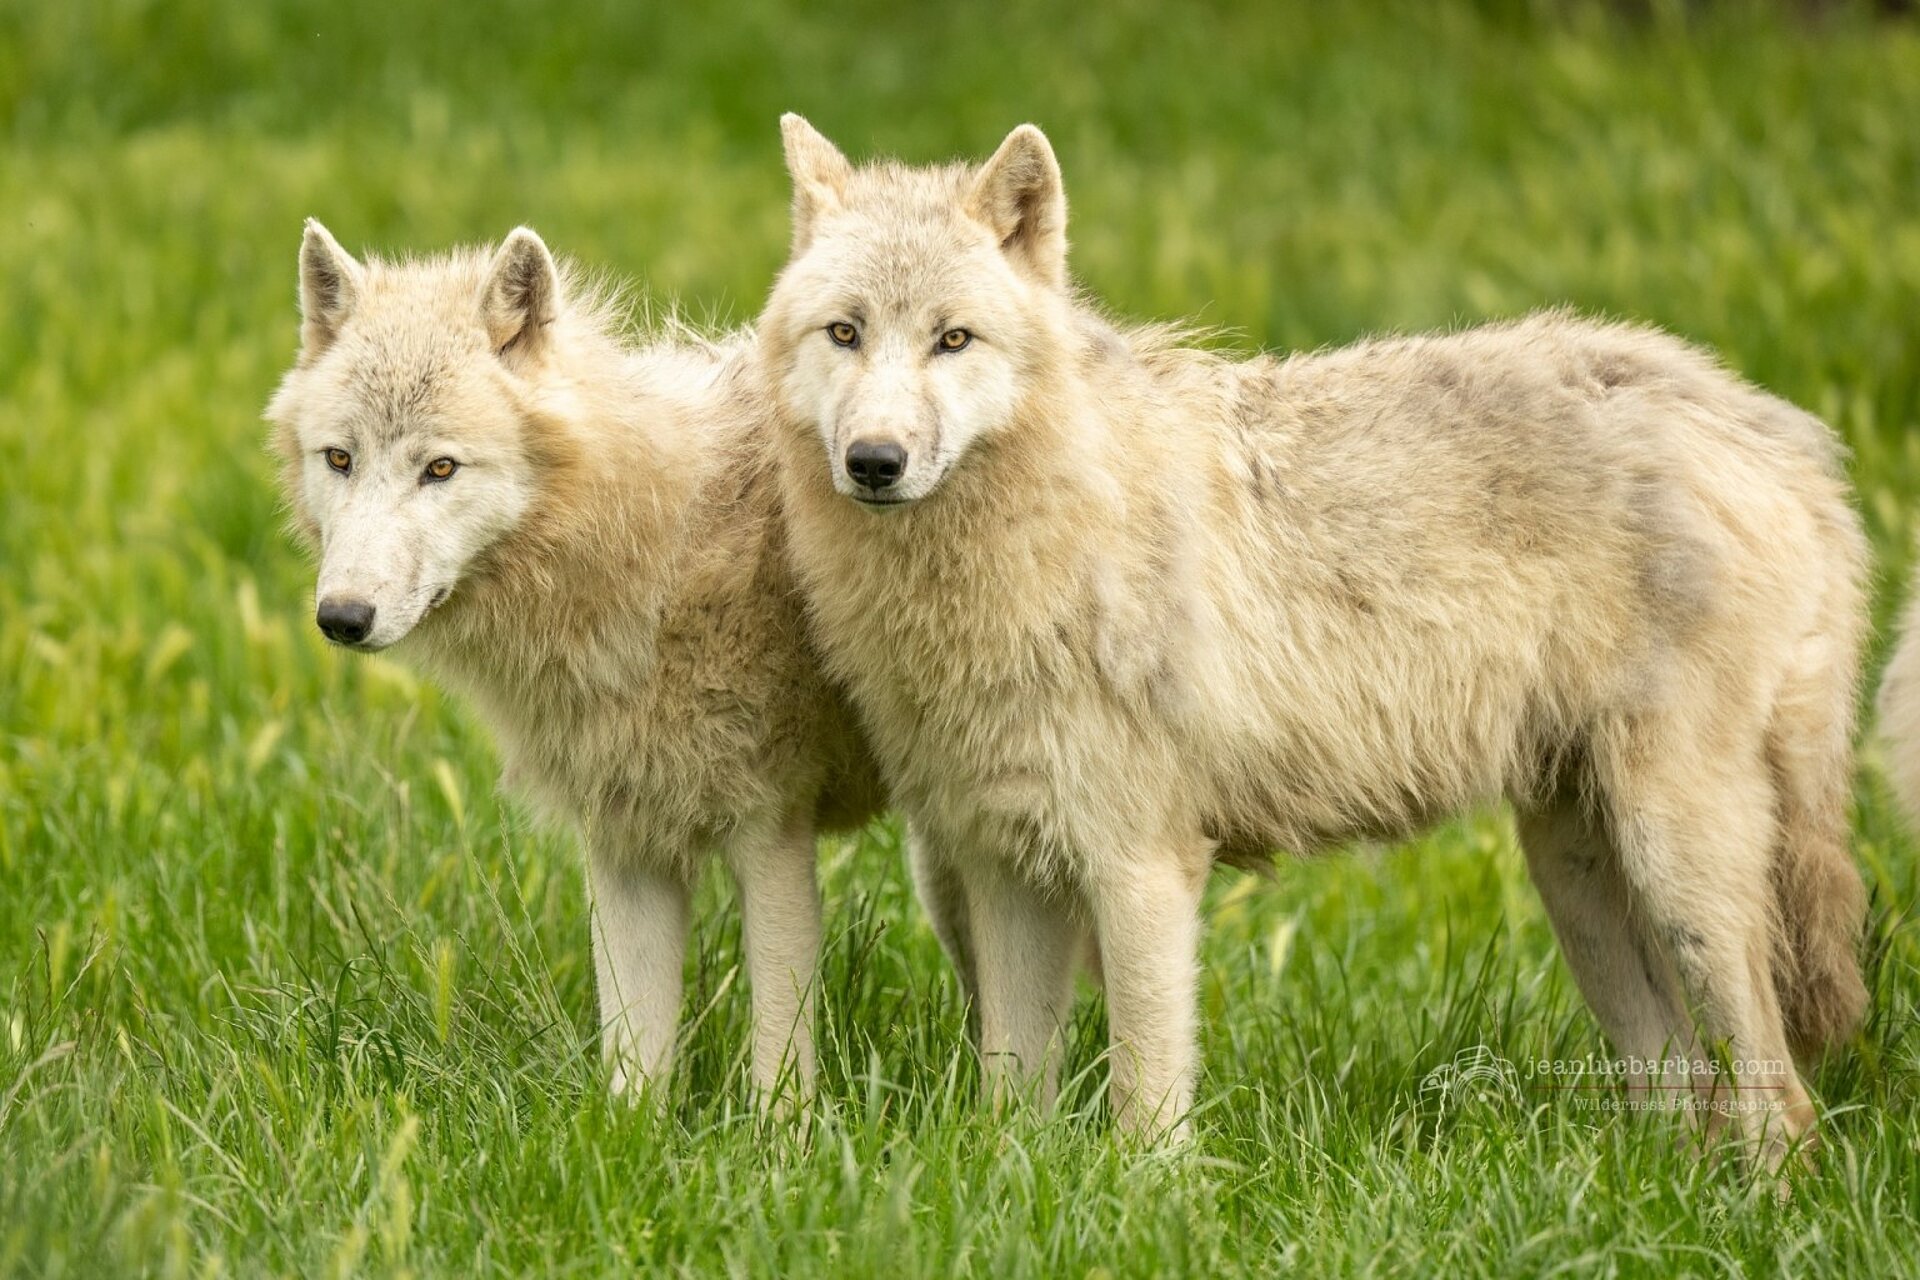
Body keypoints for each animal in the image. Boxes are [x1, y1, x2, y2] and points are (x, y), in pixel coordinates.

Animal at [263, 220, 879, 1105]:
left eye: (439, 468)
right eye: (339, 459)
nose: (342, 618)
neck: (660, 548)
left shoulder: (773, 830)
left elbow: (781, 1062)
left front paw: (781, 1140)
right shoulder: (626, 845)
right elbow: (633, 1070)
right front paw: (631, 1135)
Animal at [756, 115, 1866, 1166]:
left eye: (953, 339)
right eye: (845, 332)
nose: (875, 461)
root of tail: (1779, 434)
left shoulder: (1143, 867)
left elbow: (1145, 1108)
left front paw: (1149, 1202)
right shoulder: (1006, 870)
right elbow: (1008, 1107)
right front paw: (1017, 1187)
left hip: (1678, 868)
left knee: (1784, 1106)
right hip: (1580, 878)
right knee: (1689, 1090)